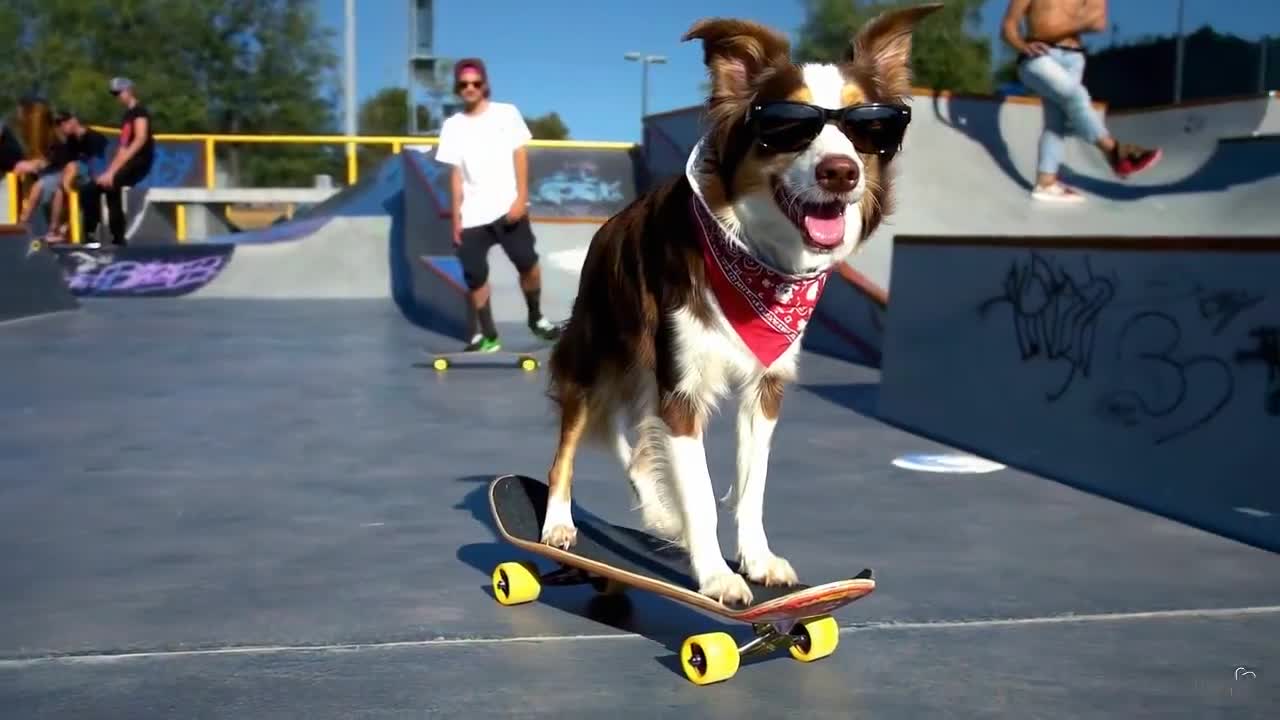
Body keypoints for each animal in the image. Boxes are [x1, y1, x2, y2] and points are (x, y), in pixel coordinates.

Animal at [540, 4, 942, 604]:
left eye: (866, 126)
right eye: (788, 126)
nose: (840, 172)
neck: (757, 258)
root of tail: (606, 227)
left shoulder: (764, 388)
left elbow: (752, 488)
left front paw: (756, 560)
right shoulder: (681, 390)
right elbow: (701, 492)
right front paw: (715, 576)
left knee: (637, 447)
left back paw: (660, 517)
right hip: (595, 351)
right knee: (569, 443)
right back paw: (558, 525)